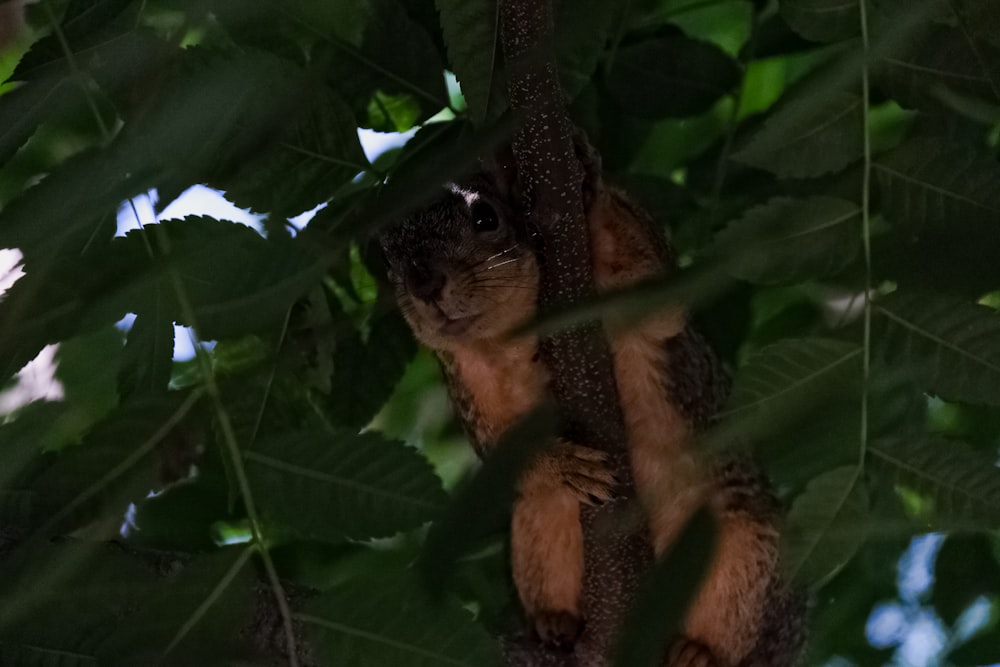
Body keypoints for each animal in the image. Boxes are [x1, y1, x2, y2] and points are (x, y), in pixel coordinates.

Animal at [376, 142, 804, 667]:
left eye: (485, 217)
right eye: (387, 257)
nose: (424, 282)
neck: (515, 340)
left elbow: (658, 300)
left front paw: (584, 179)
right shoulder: (468, 390)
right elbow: (499, 452)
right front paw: (564, 465)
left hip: (746, 543)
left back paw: (698, 652)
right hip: (537, 525)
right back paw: (556, 623)